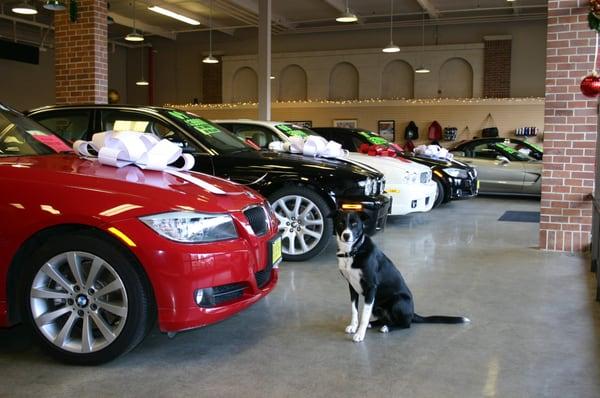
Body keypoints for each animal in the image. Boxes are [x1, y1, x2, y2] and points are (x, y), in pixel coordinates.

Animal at [332, 211, 468, 342]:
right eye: (340, 223)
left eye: (354, 224)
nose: (346, 235)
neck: (352, 252)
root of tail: (412, 313)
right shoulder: (352, 286)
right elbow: (354, 310)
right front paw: (354, 326)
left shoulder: (371, 287)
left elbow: (365, 315)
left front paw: (360, 334)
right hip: (376, 305)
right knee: (386, 319)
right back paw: (374, 324)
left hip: (398, 300)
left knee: (406, 325)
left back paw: (387, 328)